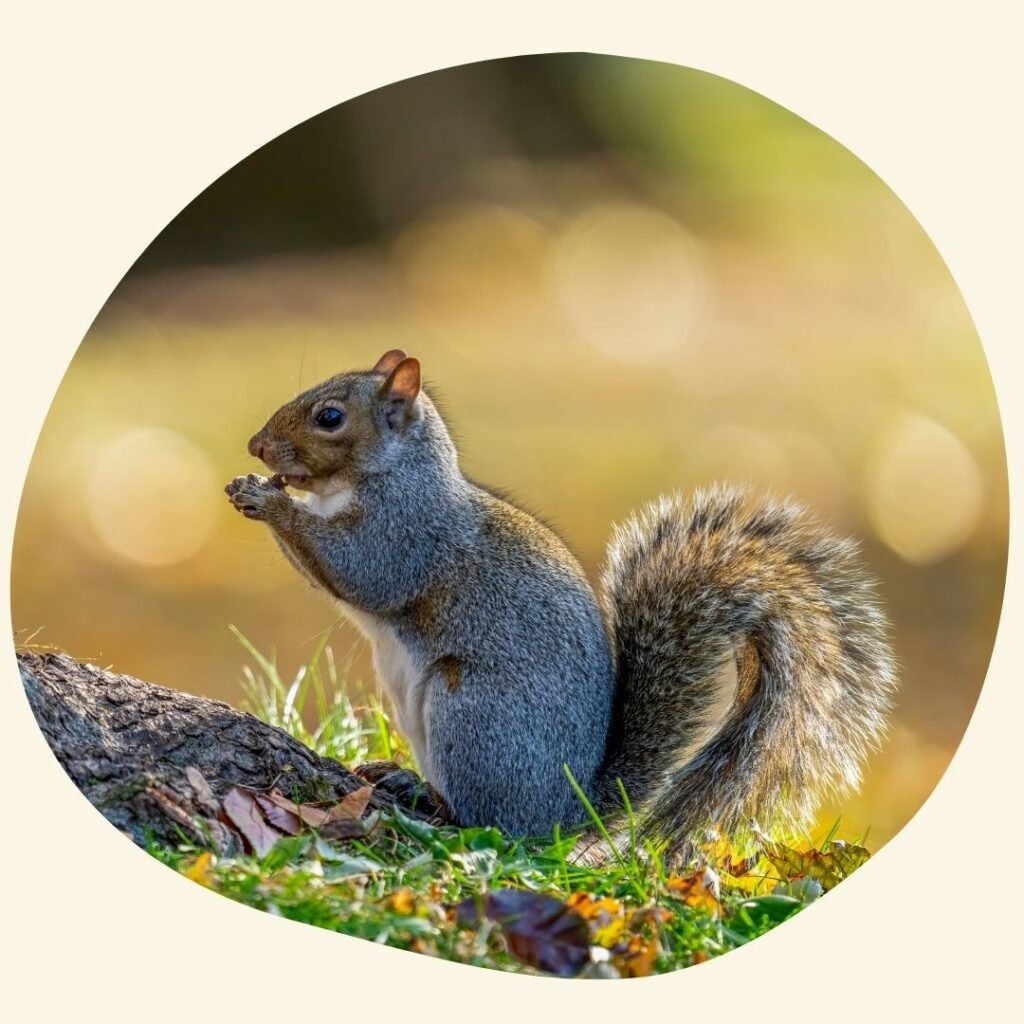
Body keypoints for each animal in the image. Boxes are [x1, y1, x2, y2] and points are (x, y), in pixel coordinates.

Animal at [226, 348, 897, 860]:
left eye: (330, 417)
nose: (256, 446)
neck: (389, 475)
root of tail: (564, 813)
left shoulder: (407, 532)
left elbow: (360, 572)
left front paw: (271, 501)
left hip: (474, 716)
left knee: (489, 823)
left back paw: (426, 800)